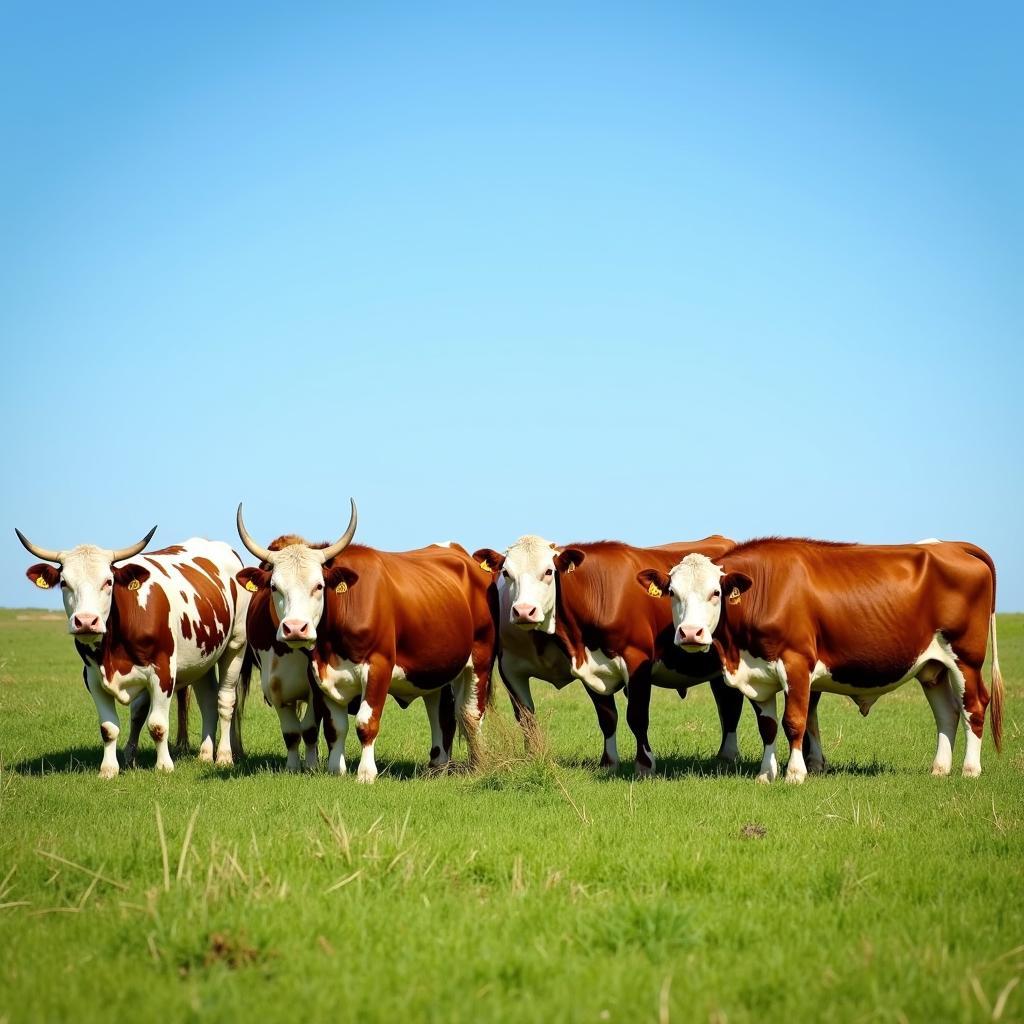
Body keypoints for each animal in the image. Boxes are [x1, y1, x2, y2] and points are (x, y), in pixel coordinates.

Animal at [17, 528, 250, 774]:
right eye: (64, 582)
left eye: (108, 581)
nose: (86, 621)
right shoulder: (92, 678)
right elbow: (109, 728)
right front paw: (109, 769)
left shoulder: (163, 673)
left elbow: (157, 725)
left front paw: (164, 766)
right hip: (201, 660)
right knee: (207, 701)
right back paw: (205, 755)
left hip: (235, 646)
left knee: (224, 701)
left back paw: (224, 756)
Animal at [234, 503, 493, 782]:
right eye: (274, 587)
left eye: (319, 585)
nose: (295, 628)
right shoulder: (319, 676)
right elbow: (334, 728)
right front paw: (336, 770)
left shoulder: (379, 667)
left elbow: (366, 722)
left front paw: (366, 773)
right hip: (434, 668)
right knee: (440, 710)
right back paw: (437, 766)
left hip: (481, 659)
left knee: (470, 714)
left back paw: (478, 765)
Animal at [471, 536, 806, 774]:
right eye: (506, 573)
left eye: (548, 571)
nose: (523, 611)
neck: (601, 592)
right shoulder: (590, 668)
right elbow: (606, 717)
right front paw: (609, 762)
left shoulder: (637, 661)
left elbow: (637, 716)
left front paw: (645, 764)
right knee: (729, 704)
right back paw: (725, 756)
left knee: (730, 706)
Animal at [634, 536, 1003, 782]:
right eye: (672, 593)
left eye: (716, 593)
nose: (690, 633)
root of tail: (950, 545)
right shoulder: (758, 674)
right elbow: (768, 727)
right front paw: (765, 774)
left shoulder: (796, 663)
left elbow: (794, 721)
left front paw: (795, 774)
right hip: (932, 668)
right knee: (947, 713)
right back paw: (939, 769)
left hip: (966, 659)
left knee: (974, 706)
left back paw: (970, 769)